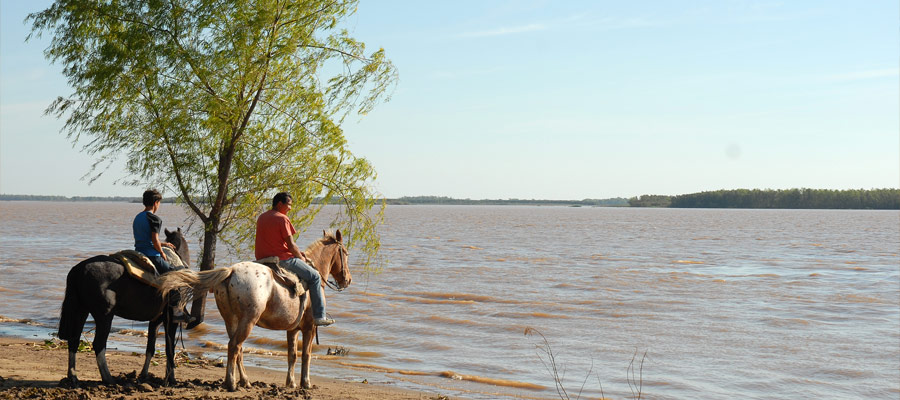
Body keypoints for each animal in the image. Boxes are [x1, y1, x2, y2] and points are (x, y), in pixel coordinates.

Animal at [57, 228, 190, 388]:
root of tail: (78, 270)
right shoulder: (171, 320)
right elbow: (170, 349)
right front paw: (171, 379)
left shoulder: (155, 321)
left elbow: (150, 348)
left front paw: (144, 376)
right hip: (104, 316)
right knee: (99, 344)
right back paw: (108, 379)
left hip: (81, 311)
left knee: (74, 340)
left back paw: (73, 378)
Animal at [160, 230, 350, 392]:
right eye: (346, 253)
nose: (347, 279)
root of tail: (231, 271)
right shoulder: (309, 327)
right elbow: (306, 354)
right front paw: (306, 383)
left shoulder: (292, 329)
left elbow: (292, 355)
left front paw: (291, 383)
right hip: (248, 321)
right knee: (234, 346)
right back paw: (231, 383)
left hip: (231, 320)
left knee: (237, 349)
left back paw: (244, 381)